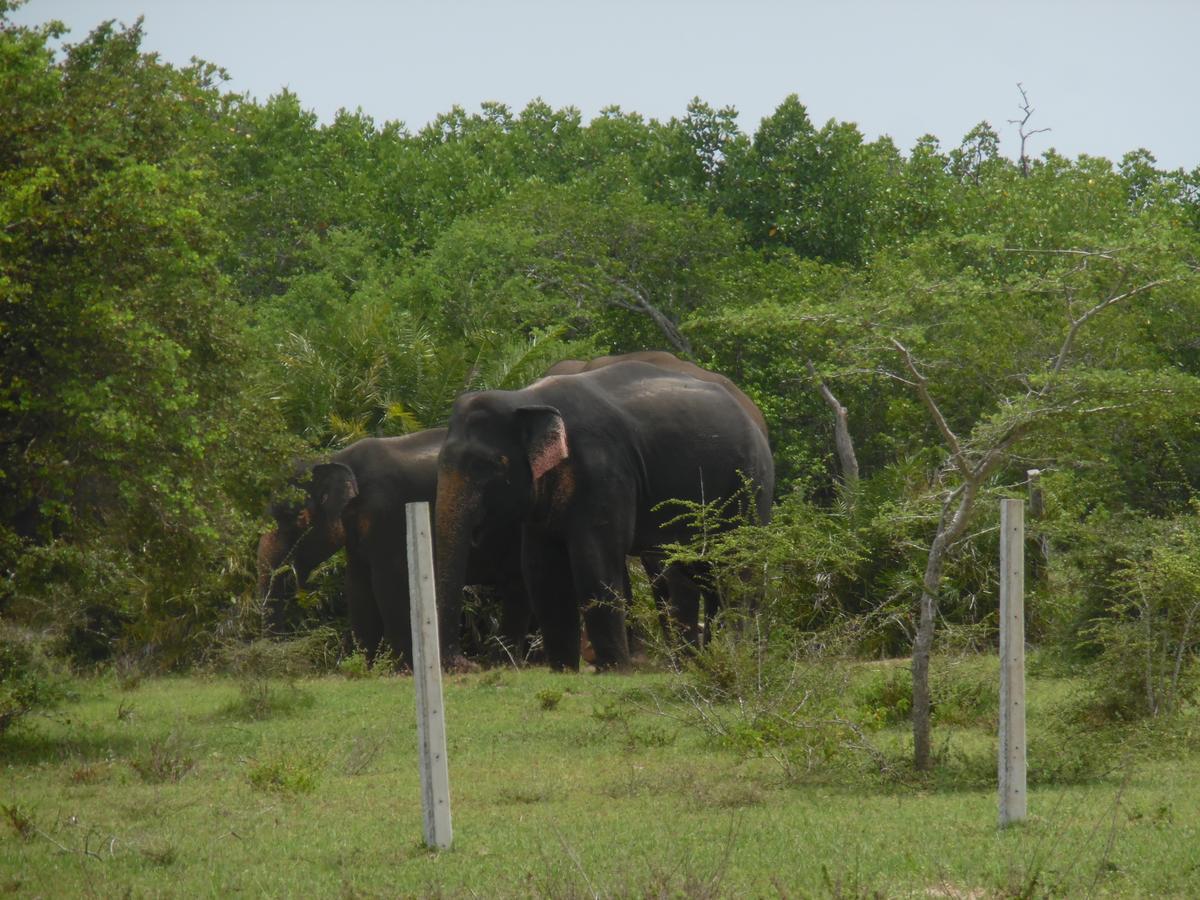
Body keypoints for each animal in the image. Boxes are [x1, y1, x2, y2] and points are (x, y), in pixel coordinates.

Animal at [260, 429, 528, 672]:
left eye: (296, 519)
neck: (335, 458)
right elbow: (358, 587)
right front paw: (365, 669)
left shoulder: (386, 512)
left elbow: (389, 583)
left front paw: (403, 670)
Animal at [436, 360, 772, 672]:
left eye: (488, 465)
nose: (466, 665)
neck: (525, 398)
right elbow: (542, 568)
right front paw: (563, 671)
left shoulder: (604, 472)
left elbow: (594, 559)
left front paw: (614, 670)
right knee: (707, 573)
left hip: (750, 486)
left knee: (738, 568)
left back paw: (733, 654)